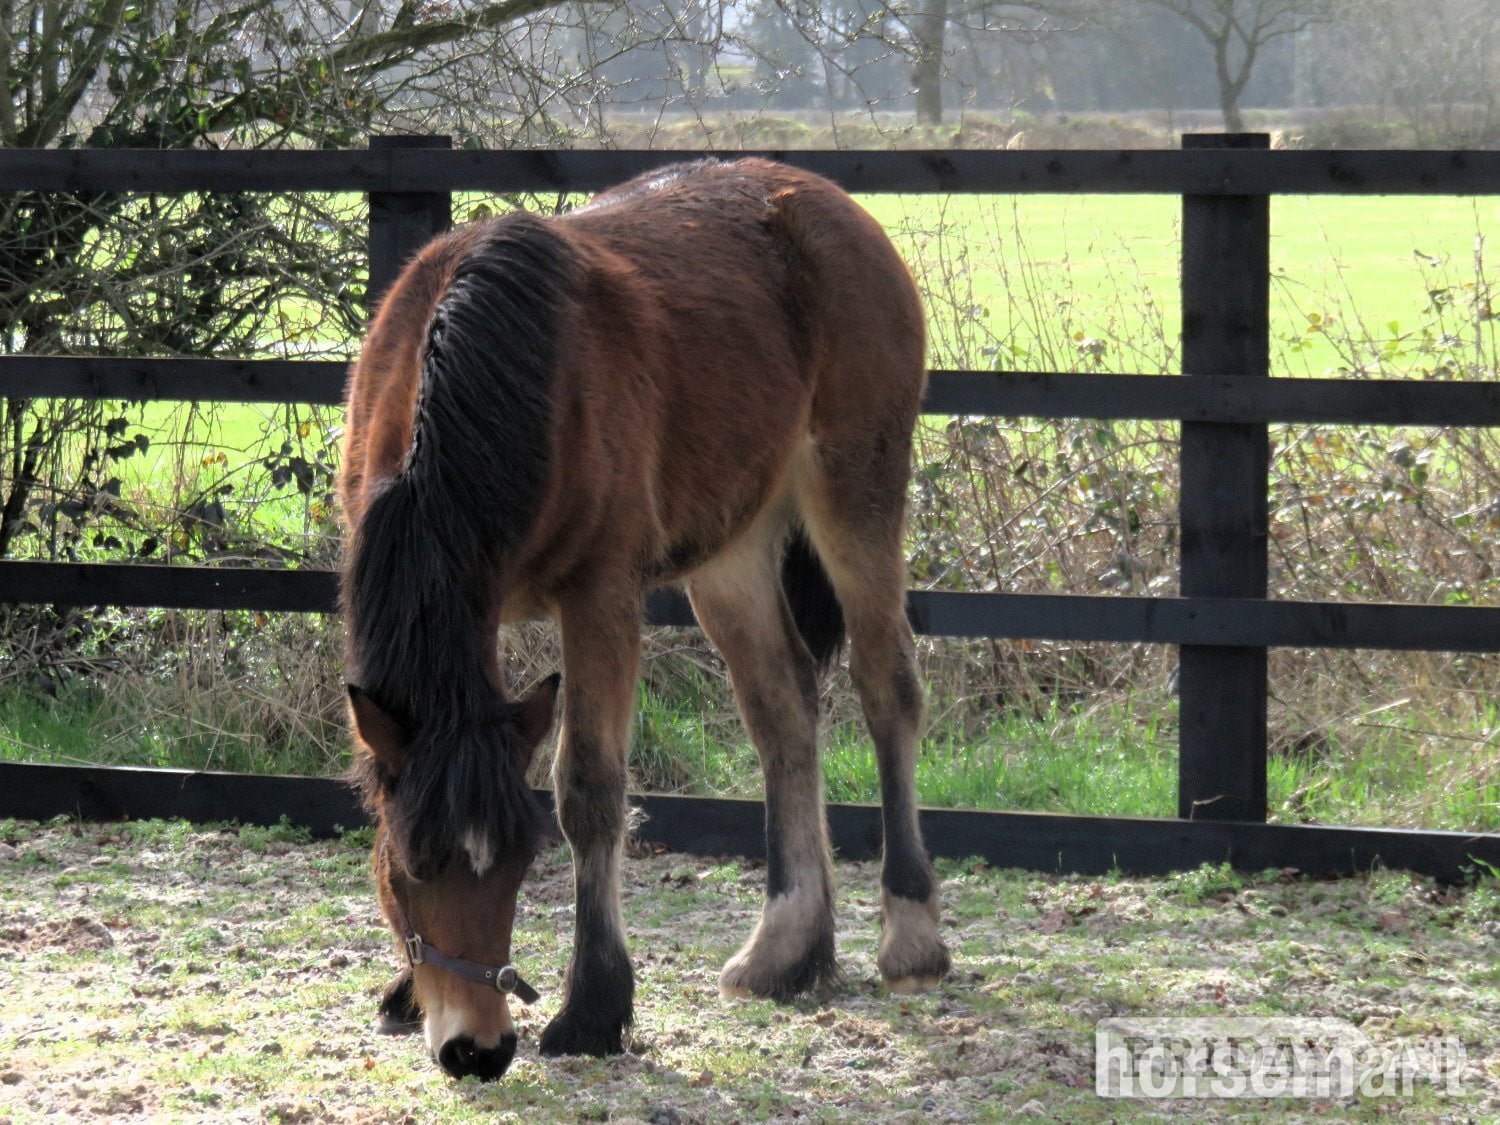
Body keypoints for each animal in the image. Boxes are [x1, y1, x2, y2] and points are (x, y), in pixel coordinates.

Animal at [338, 157, 951, 1081]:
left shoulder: (600, 595)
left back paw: (910, 933)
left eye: (517, 864)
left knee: (888, 689)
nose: (477, 1048)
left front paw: (593, 1006)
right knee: (784, 714)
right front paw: (409, 989)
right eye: (413, 865)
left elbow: (588, 790)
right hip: (733, 555)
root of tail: (832, 205)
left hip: (857, 497)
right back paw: (786, 946)